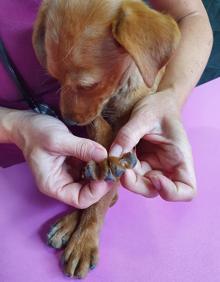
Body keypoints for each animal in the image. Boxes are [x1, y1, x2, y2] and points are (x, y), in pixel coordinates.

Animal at [32, 0, 180, 278]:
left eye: (88, 85)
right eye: (55, 78)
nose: (68, 121)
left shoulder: (130, 126)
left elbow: (101, 196)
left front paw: (84, 239)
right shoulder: (94, 119)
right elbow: (99, 129)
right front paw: (101, 159)